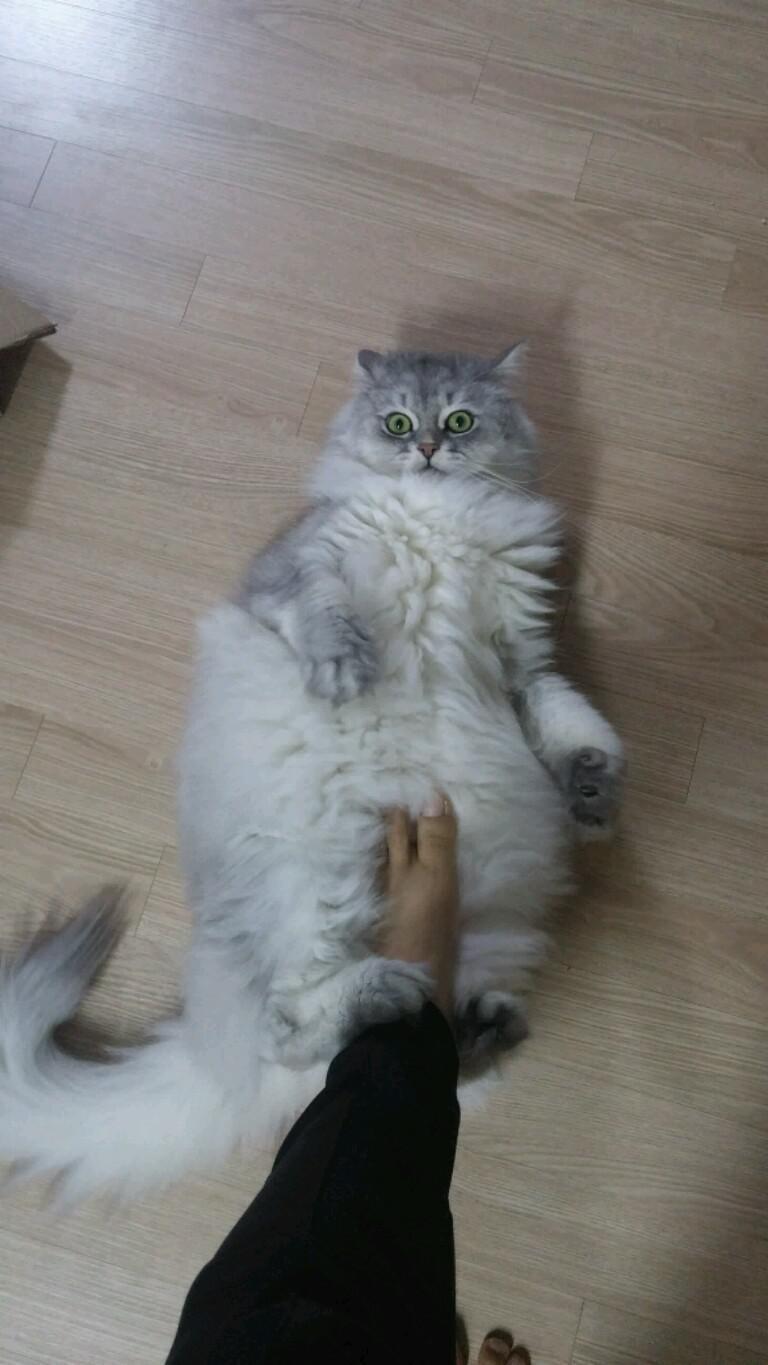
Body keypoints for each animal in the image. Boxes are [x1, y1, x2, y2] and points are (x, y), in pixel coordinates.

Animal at [0, 346, 623, 1202]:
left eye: (460, 419)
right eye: (398, 420)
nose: (427, 447)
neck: (435, 516)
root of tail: (209, 1055)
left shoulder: (523, 656)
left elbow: (564, 714)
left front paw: (592, 791)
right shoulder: (294, 570)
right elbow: (324, 610)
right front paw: (345, 669)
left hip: (473, 940)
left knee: (399, 1058)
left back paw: (478, 1026)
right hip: (314, 877)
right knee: (290, 1028)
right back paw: (382, 995)